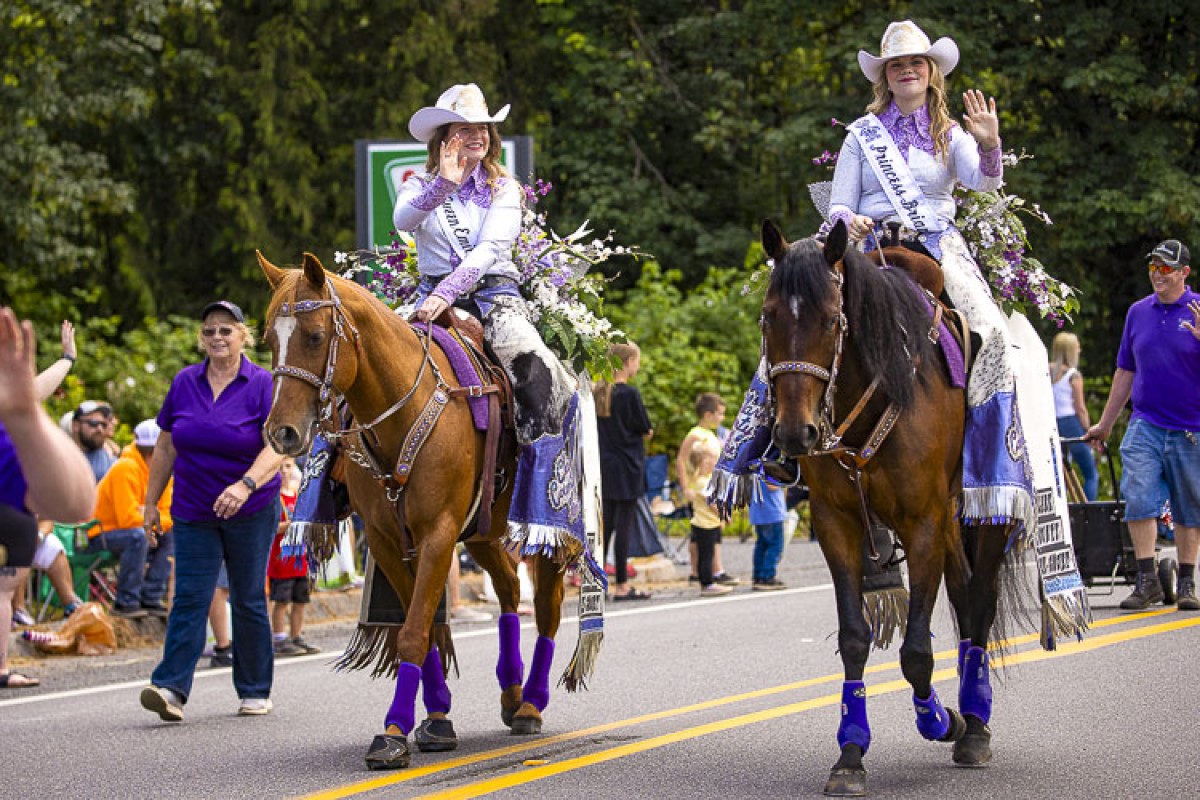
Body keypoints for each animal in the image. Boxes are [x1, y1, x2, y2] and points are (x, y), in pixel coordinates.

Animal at [256, 253, 590, 772]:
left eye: (313, 335)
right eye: (272, 338)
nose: (282, 433)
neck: (403, 413)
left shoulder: (438, 534)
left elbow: (414, 631)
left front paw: (392, 732)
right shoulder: (387, 539)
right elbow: (426, 626)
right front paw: (434, 719)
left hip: (546, 535)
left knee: (548, 609)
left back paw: (531, 704)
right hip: (483, 533)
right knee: (510, 590)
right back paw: (511, 692)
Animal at [758, 217, 1012, 796]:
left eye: (832, 320)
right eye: (768, 316)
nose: (794, 433)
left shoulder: (923, 522)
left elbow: (917, 652)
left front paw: (941, 720)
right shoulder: (836, 522)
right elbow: (855, 638)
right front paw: (850, 753)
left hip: (982, 515)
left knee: (981, 600)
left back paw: (975, 724)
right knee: (964, 595)